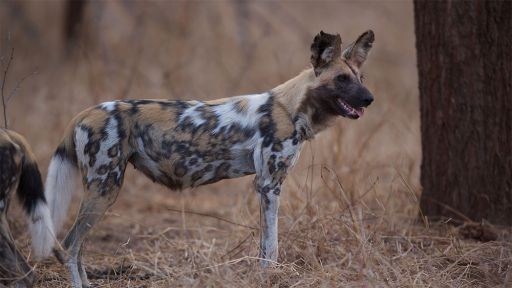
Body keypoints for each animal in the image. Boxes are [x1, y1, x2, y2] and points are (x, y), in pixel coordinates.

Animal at [40, 30, 374, 286]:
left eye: (359, 77)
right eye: (342, 79)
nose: (369, 98)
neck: (291, 108)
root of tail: (84, 113)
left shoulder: (266, 186)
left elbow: (264, 246)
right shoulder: (269, 185)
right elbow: (271, 247)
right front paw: (270, 277)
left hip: (102, 191)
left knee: (78, 249)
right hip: (105, 187)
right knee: (69, 247)